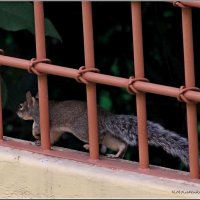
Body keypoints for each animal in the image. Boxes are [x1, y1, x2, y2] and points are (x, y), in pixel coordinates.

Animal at [16, 90, 189, 167]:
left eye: (21, 106)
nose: (17, 112)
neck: (38, 106)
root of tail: (104, 115)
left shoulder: (41, 119)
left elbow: (38, 127)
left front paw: (35, 135)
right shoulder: (55, 130)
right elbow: (53, 137)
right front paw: (39, 141)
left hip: (81, 129)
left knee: (97, 139)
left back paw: (88, 146)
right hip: (108, 137)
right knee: (120, 143)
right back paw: (116, 154)